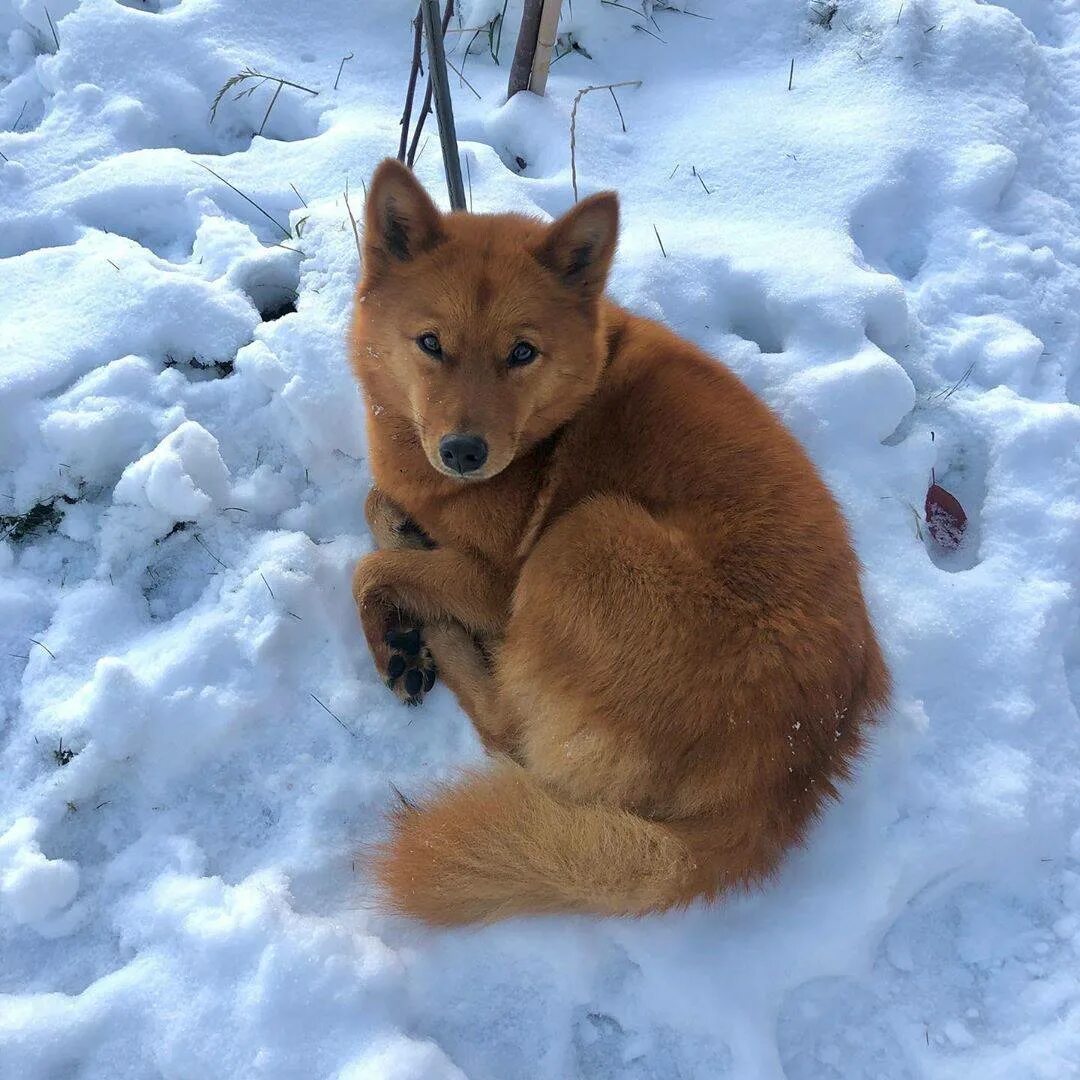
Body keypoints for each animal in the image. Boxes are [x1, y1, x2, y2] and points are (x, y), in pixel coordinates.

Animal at [345, 159, 885, 928]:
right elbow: (377, 505)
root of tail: (785, 780)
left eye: (522, 352)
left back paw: (438, 640)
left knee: (507, 730)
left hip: (586, 534)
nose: (463, 453)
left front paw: (396, 633)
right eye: (430, 344)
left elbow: (368, 567)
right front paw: (408, 535)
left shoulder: (500, 580)